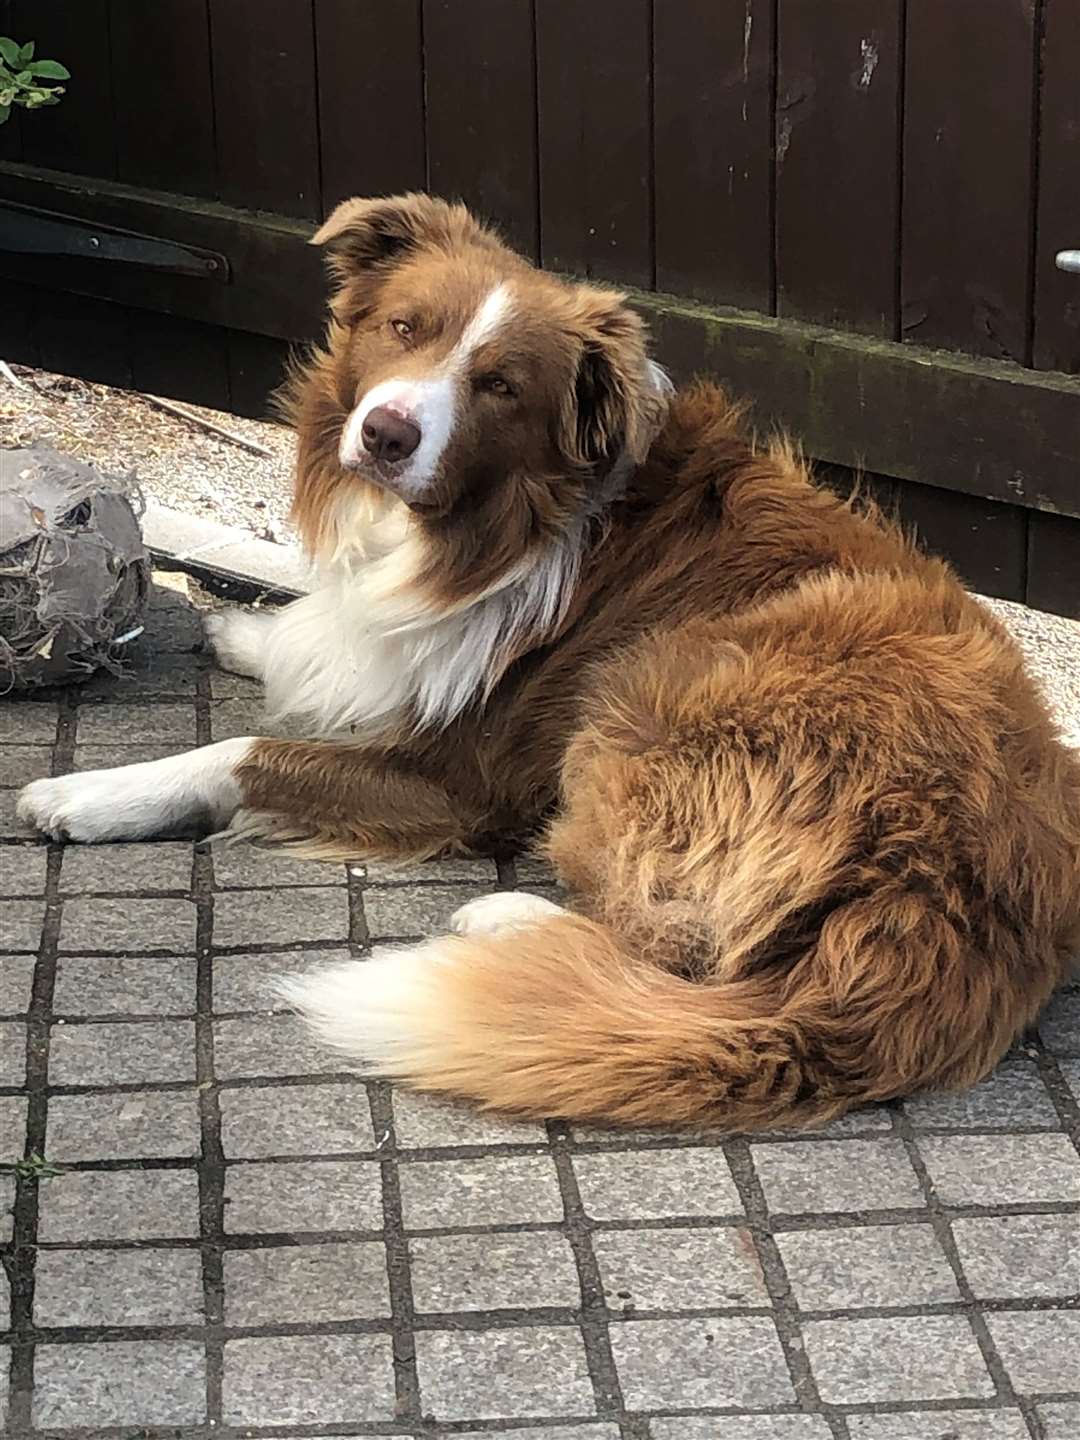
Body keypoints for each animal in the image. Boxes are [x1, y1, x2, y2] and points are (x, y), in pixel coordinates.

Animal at [16, 197, 1080, 1128]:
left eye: (501, 386)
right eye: (404, 327)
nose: (387, 433)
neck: (496, 524)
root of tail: (951, 903)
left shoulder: (459, 780)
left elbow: (240, 755)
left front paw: (89, 793)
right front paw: (249, 631)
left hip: (650, 693)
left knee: (685, 956)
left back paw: (505, 921)